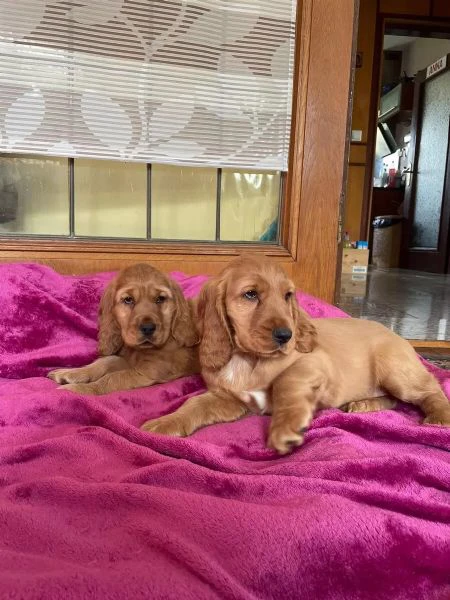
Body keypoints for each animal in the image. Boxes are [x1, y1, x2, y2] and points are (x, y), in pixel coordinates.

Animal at [47, 262, 199, 394]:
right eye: (128, 300)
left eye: (160, 299)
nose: (148, 328)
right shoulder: (129, 360)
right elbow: (106, 361)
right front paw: (71, 373)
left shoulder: (152, 369)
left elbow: (112, 378)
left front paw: (80, 389)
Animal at [142, 254, 450, 454]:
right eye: (250, 294)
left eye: (288, 295)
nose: (285, 336)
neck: (248, 359)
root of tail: (395, 334)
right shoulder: (228, 399)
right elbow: (193, 405)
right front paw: (164, 423)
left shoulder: (313, 363)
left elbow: (286, 382)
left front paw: (285, 429)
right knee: (395, 400)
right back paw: (362, 404)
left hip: (397, 371)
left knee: (432, 389)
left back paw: (439, 418)